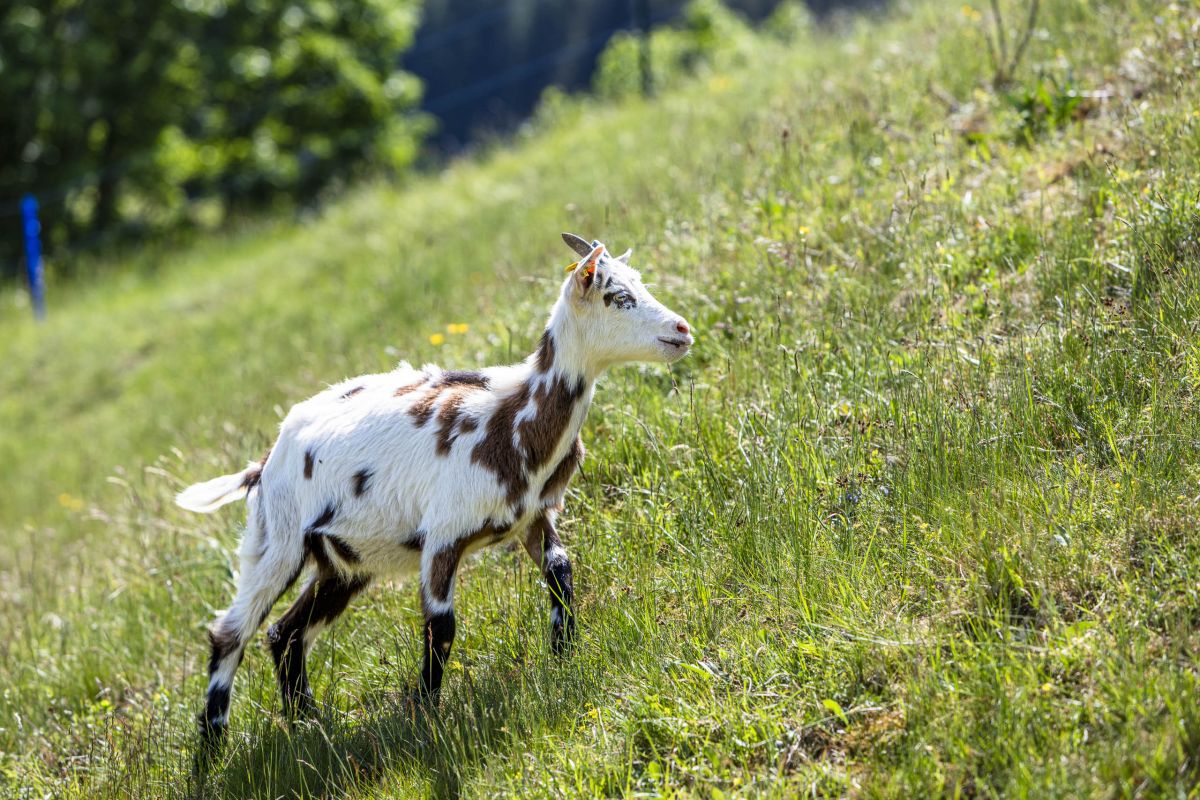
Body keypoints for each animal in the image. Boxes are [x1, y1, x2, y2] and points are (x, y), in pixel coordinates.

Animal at [176, 233, 693, 746]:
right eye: (617, 297)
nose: (682, 329)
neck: (512, 419)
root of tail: (265, 463)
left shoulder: (535, 516)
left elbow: (561, 574)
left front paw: (564, 658)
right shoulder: (443, 534)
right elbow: (441, 624)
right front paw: (425, 714)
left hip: (343, 560)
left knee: (286, 633)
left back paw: (310, 726)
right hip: (278, 543)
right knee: (230, 633)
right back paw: (215, 746)